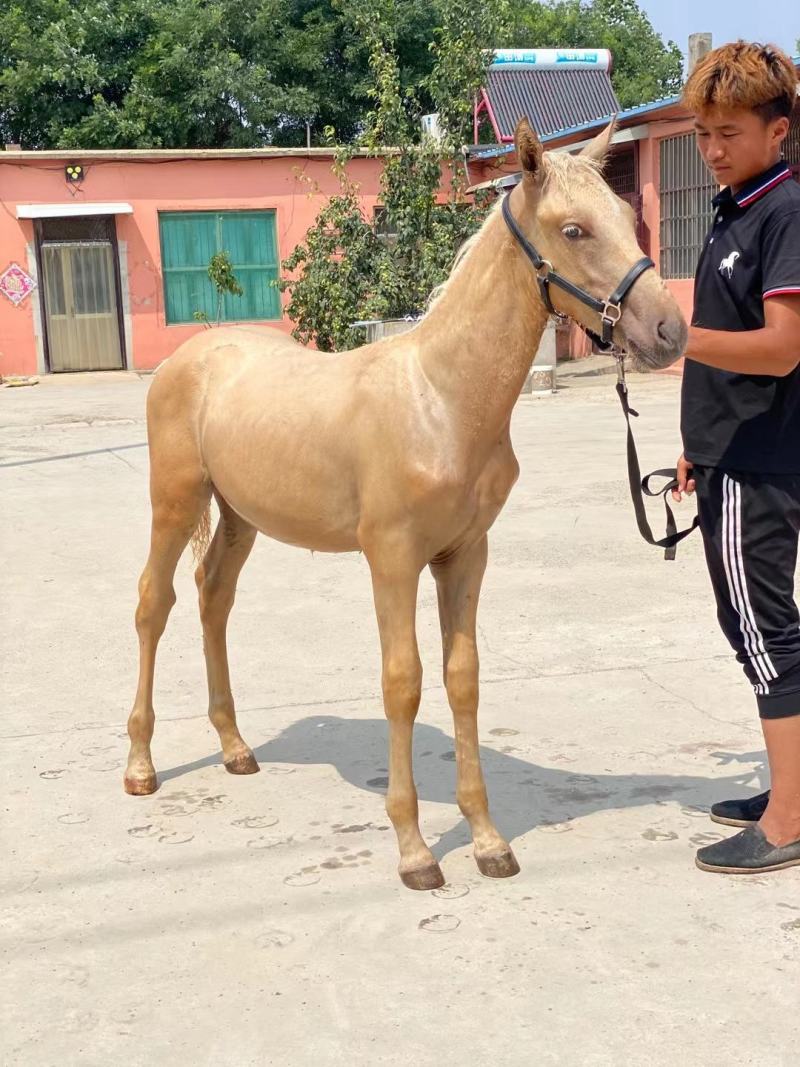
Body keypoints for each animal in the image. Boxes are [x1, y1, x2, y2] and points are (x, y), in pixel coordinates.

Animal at [124, 118, 687, 890]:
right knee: (155, 603)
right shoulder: (391, 557)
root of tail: (191, 357)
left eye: (630, 220)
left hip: (239, 515)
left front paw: (487, 840)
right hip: (174, 500)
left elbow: (463, 678)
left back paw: (236, 746)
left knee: (214, 597)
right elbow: (404, 681)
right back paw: (141, 766)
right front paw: (416, 849)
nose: (669, 330)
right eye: (574, 229)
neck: (442, 400)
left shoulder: (465, 554)